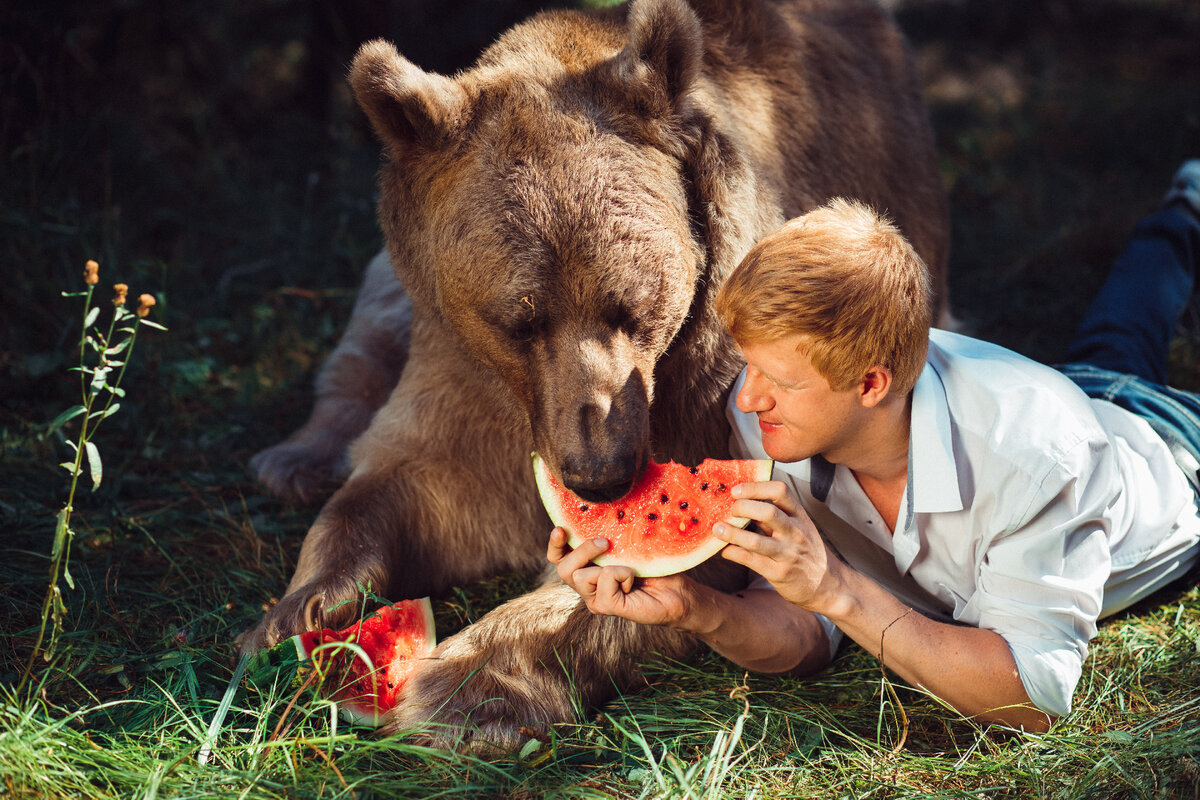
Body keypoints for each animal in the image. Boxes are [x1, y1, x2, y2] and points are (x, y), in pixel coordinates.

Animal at [246, 0, 945, 753]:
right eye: (519, 321)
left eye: (631, 307)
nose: (600, 474)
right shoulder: (463, 373)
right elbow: (403, 487)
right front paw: (294, 616)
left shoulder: (703, 389)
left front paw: (464, 684)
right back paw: (295, 460)